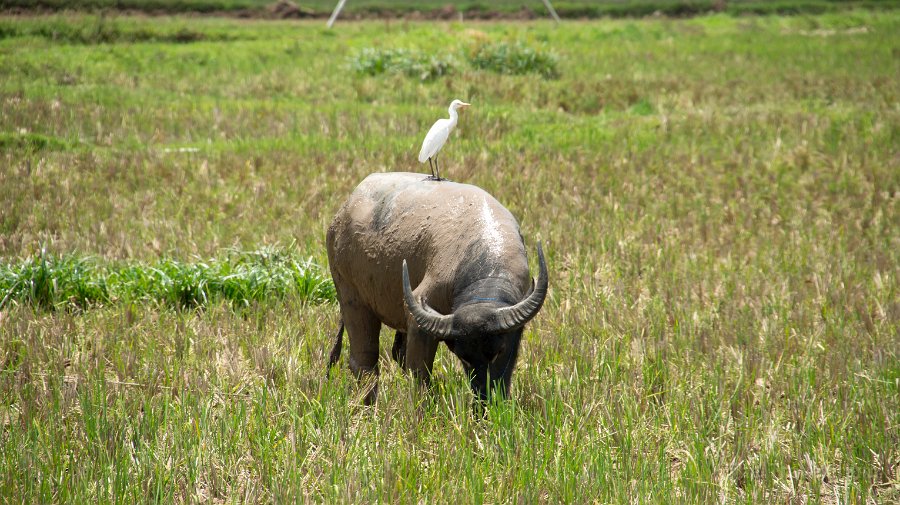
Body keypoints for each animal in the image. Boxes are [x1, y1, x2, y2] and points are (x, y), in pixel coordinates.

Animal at [326, 171, 544, 404]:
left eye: (497, 352)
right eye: (464, 358)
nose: (482, 399)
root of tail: (342, 214)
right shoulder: (419, 317)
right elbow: (419, 374)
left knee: (395, 353)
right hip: (352, 298)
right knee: (364, 362)